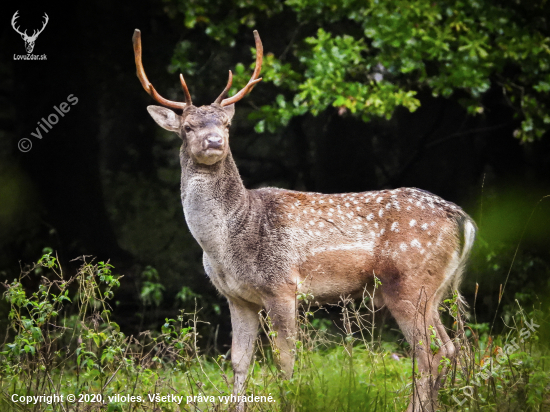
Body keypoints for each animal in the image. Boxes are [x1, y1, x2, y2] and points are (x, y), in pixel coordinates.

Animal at [134, 29, 478, 412]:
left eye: (227, 124)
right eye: (188, 126)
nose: (214, 141)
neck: (226, 240)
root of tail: (460, 217)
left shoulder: (282, 285)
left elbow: (286, 361)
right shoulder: (237, 297)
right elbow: (240, 363)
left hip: (408, 281)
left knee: (429, 355)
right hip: (436, 289)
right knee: (449, 349)